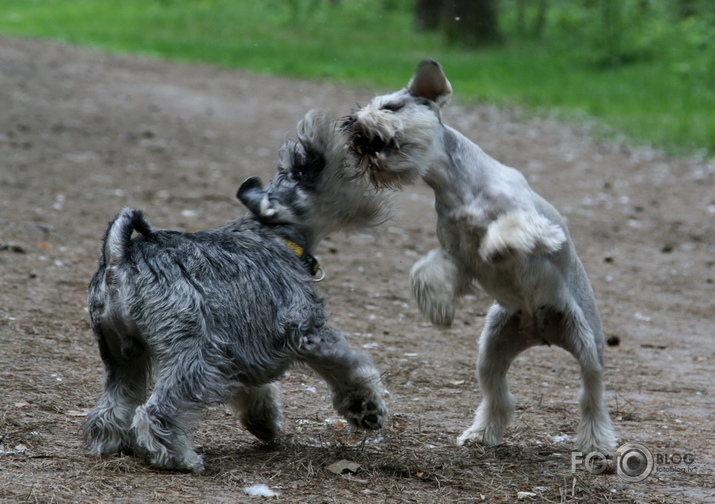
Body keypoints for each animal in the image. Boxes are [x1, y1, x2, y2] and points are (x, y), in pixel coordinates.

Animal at [346, 61, 616, 454]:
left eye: (391, 107)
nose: (351, 122)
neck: (457, 185)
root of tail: (542, 333)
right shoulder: (456, 256)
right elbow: (425, 271)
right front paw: (437, 306)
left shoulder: (540, 226)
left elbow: (508, 229)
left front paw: (497, 248)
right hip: (492, 350)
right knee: (497, 395)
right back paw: (481, 433)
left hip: (588, 349)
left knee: (591, 398)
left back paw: (597, 445)